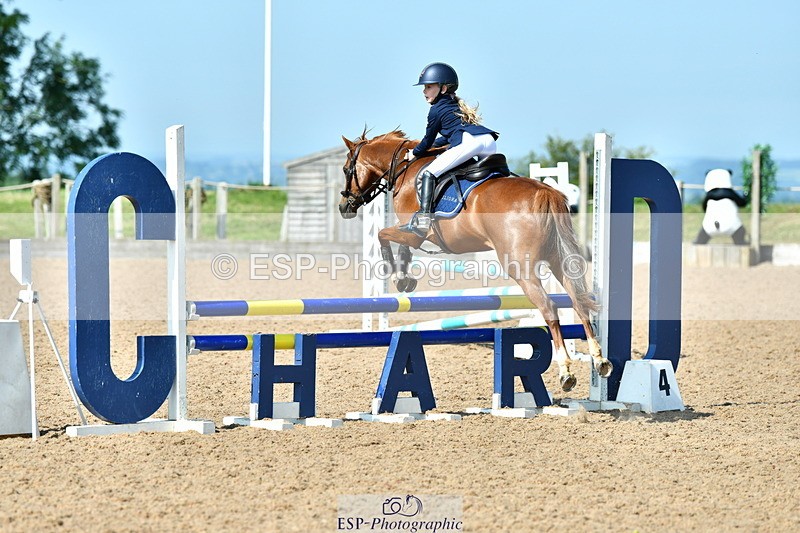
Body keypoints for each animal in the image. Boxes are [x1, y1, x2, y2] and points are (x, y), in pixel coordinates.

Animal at [338, 128, 612, 391]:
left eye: (346, 169)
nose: (344, 207)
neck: (406, 168)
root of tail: (545, 192)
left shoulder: (413, 232)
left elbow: (382, 236)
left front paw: (398, 276)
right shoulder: (411, 233)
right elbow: (401, 247)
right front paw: (405, 280)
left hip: (521, 269)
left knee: (549, 308)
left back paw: (566, 372)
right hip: (558, 261)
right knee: (578, 301)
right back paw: (599, 360)